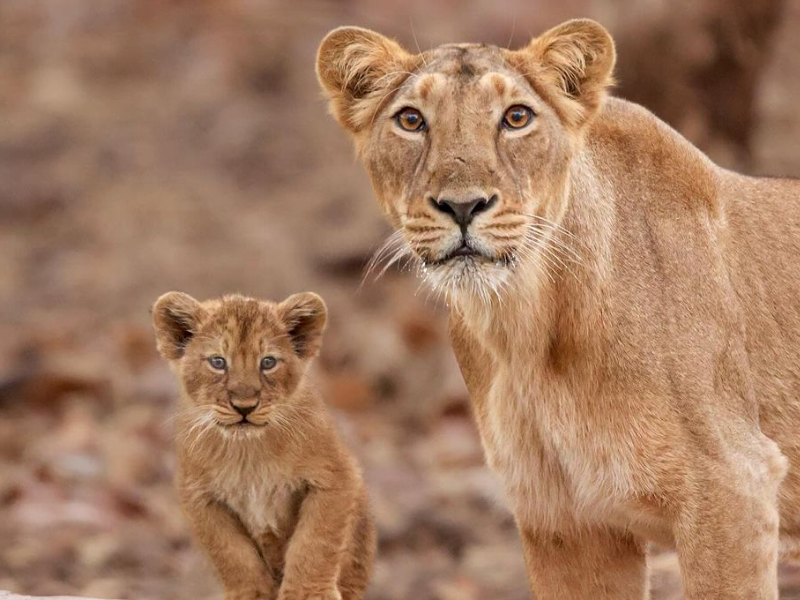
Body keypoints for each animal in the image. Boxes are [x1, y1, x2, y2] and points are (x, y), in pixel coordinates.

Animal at [152, 291, 376, 600]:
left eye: (268, 362)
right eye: (218, 362)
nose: (244, 406)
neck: (248, 452)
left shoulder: (337, 477)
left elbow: (315, 541)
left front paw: (307, 593)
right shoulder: (198, 496)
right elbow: (231, 552)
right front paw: (252, 594)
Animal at [316, 19, 800, 600]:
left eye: (516, 117)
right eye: (411, 120)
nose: (463, 206)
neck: (528, 327)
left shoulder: (732, 487)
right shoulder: (565, 521)